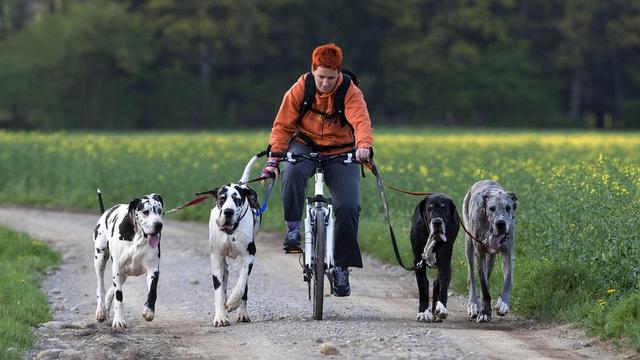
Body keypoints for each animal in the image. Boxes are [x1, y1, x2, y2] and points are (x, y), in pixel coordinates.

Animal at [95, 191, 166, 330]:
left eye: (160, 211)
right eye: (145, 212)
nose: (158, 225)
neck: (138, 237)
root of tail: (105, 213)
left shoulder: (153, 269)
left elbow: (153, 291)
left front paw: (149, 311)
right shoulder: (117, 269)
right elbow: (119, 296)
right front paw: (119, 320)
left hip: (124, 274)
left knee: (111, 290)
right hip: (100, 259)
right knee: (101, 287)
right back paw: (101, 311)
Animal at [208, 157, 262, 326]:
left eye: (237, 199)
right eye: (222, 198)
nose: (228, 211)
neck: (230, 232)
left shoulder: (249, 255)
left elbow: (241, 285)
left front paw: (232, 303)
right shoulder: (216, 258)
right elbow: (218, 291)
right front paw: (220, 316)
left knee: (244, 286)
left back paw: (242, 312)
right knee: (225, 276)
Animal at [412, 194, 458, 324]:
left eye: (444, 209)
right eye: (429, 209)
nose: (437, 222)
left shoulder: (445, 264)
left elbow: (443, 285)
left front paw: (441, 308)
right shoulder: (418, 263)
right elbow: (423, 287)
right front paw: (423, 312)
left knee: (437, 283)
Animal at [462, 180, 516, 324]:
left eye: (508, 208)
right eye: (492, 208)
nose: (501, 223)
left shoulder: (508, 253)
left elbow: (508, 280)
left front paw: (503, 303)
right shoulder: (479, 254)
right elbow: (484, 286)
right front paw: (485, 312)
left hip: (492, 257)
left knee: (488, 274)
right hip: (469, 247)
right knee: (471, 277)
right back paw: (473, 304)